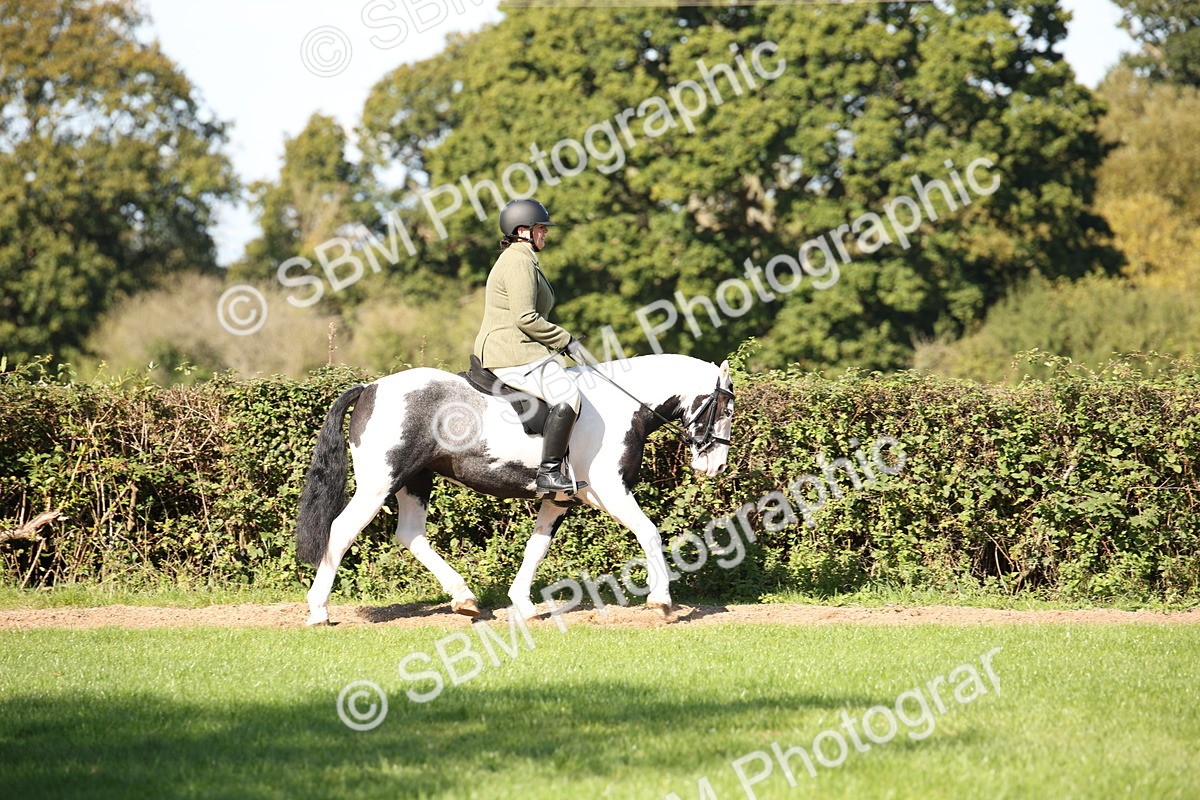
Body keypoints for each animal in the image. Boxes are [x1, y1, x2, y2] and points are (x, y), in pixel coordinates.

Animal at [295, 353, 735, 625]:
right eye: (726, 409)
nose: (715, 466)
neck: (622, 406)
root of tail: (370, 387)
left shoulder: (560, 498)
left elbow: (535, 549)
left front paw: (524, 605)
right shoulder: (611, 492)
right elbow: (650, 533)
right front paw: (661, 601)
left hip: (415, 481)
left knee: (410, 534)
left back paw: (465, 599)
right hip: (379, 484)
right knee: (341, 530)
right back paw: (318, 610)